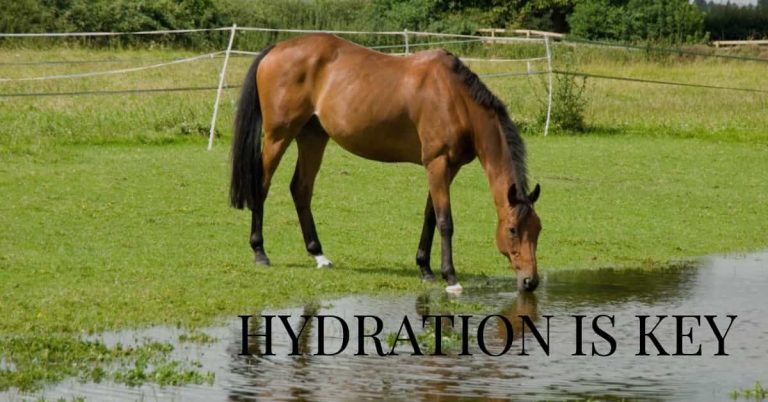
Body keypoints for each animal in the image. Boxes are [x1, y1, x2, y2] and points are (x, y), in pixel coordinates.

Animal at [229, 34, 542, 292]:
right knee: (262, 185)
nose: (530, 281)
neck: (455, 97)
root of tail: (276, 49)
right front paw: (450, 277)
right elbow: (445, 221)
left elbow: (430, 215)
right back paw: (260, 252)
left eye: (537, 229)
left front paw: (425, 268)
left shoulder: (447, 167)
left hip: (312, 136)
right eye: (512, 230)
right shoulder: (438, 163)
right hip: (278, 136)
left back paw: (318, 254)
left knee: (301, 189)